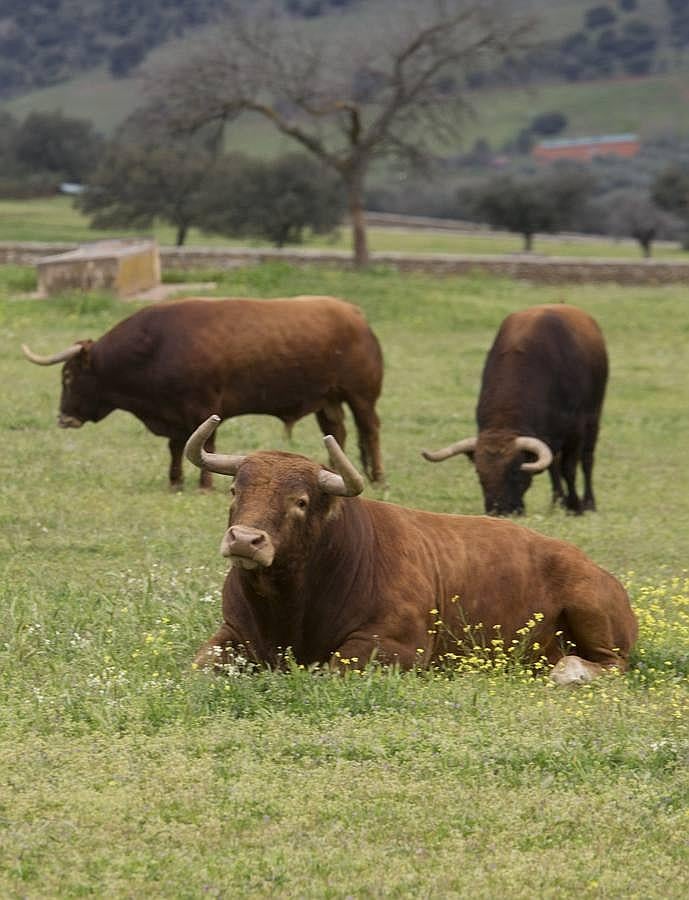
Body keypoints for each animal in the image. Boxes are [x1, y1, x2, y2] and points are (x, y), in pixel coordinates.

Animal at [22, 294, 388, 492]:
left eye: (69, 376)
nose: (64, 418)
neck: (155, 347)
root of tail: (354, 313)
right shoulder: (173, 414)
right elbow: (176, 447)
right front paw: (175, 482)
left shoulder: (204, 408)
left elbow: (204, 446)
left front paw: (204, 485)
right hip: (327, 400)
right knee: (337, 432)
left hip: (361, 396)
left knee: (369, 430)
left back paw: (378, 478)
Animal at [183, 412, 636, 684]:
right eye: (235, 490)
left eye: (301, 501)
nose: (246, 540)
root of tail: (596, 569)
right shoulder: (232, 632)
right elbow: (200, 664)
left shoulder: (395, 647)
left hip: (590, 607)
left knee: (610, 663)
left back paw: (569, 672)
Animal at [420, 304, 608, 512]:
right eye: (480, 474)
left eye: (515, 472)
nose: (499, 510)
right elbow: (554, 467)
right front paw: (560, 502)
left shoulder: (575, 429)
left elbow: (569, 468)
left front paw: (575, 506)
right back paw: (556, 501)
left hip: (593, 416)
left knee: (587, 459)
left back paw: (589, 502)